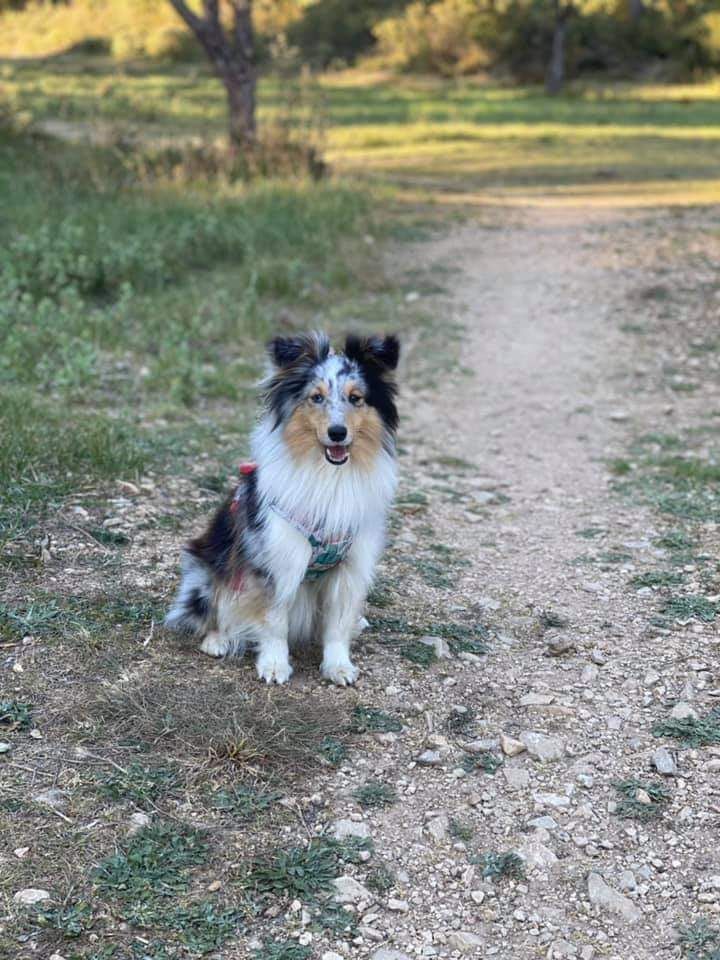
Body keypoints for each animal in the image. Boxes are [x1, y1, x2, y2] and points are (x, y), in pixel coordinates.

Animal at [165, 330, 400, 684]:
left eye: (356, 398)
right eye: (316, 397)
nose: (337, 433)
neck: (328, 475)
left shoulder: (351, 564)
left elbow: (337, 623)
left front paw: (338, 666)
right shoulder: (276, 559)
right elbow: (274, 620)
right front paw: (274, 665)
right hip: (208, 569)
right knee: (214, 610)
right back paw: (218, 640)